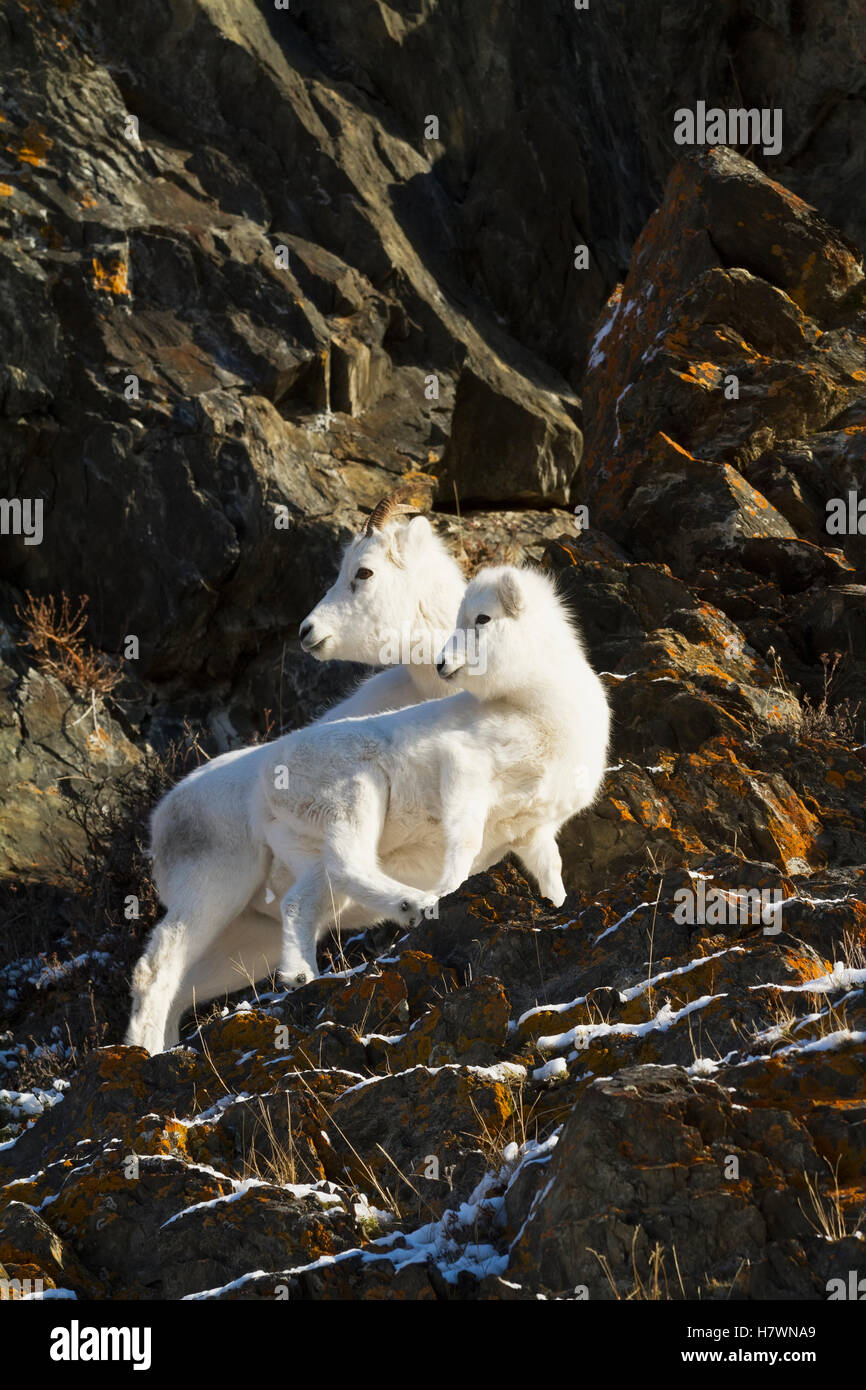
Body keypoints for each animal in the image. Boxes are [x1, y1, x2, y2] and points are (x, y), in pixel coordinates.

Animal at [123, 500, 467, 1050]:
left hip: (249, 941)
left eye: (363, 572)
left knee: (183, 991)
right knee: (156, 970)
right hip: (211, 894)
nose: (308, 632)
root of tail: (161, 822)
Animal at [257, 564, 608, 989]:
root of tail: (268, 782)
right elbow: (465, 843)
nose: (443, 663)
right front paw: (447, 890)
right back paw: (415, 906)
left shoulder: (534, 831)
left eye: (482, 618)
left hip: (310, 851)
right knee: (349, 865)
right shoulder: (464, 768)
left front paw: (556, 904)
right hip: (356, 794)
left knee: (299, 903)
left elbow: (550, 870)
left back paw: (299, 976)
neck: (540, 709)